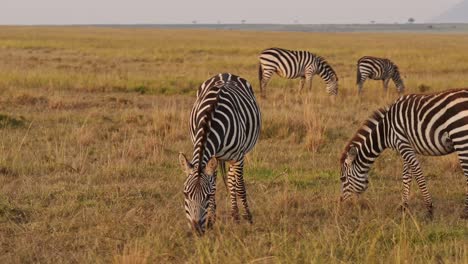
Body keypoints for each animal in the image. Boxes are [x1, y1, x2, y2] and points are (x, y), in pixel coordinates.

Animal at [178, 72, 262, 235]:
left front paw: (248, 218)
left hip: (235, 156)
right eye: (186, 194)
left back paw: (236, 215)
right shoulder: (212, 157)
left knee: (232, 181)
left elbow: (240, 187)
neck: (210, 119)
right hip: (219, 158)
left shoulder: (238, 157)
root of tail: (226, 73)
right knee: (228, 179)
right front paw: (211, 219)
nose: (197, 230)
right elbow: (214, 186)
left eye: (206, 196)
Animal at [340, 89, 468, 219]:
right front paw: (404, 207)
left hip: (461, 137)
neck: (386, 131)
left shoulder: (402, 143)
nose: (342, 203)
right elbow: (406, 176)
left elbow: (418, 175)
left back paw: (465, 212)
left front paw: (429, 210)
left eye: (342, 178)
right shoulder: (408, 146)